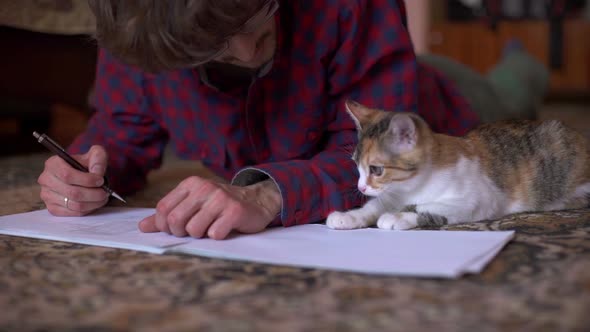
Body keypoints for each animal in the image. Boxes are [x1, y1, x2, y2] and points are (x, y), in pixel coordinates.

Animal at [328, 100, 590, 231]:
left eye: (376, 169)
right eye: (357, 166)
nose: (360, 188)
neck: (412, 186)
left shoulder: (479, 200)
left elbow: (426, 206)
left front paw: (398, 216)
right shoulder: (392, 194)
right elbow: (375, 205)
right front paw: (349, 216)